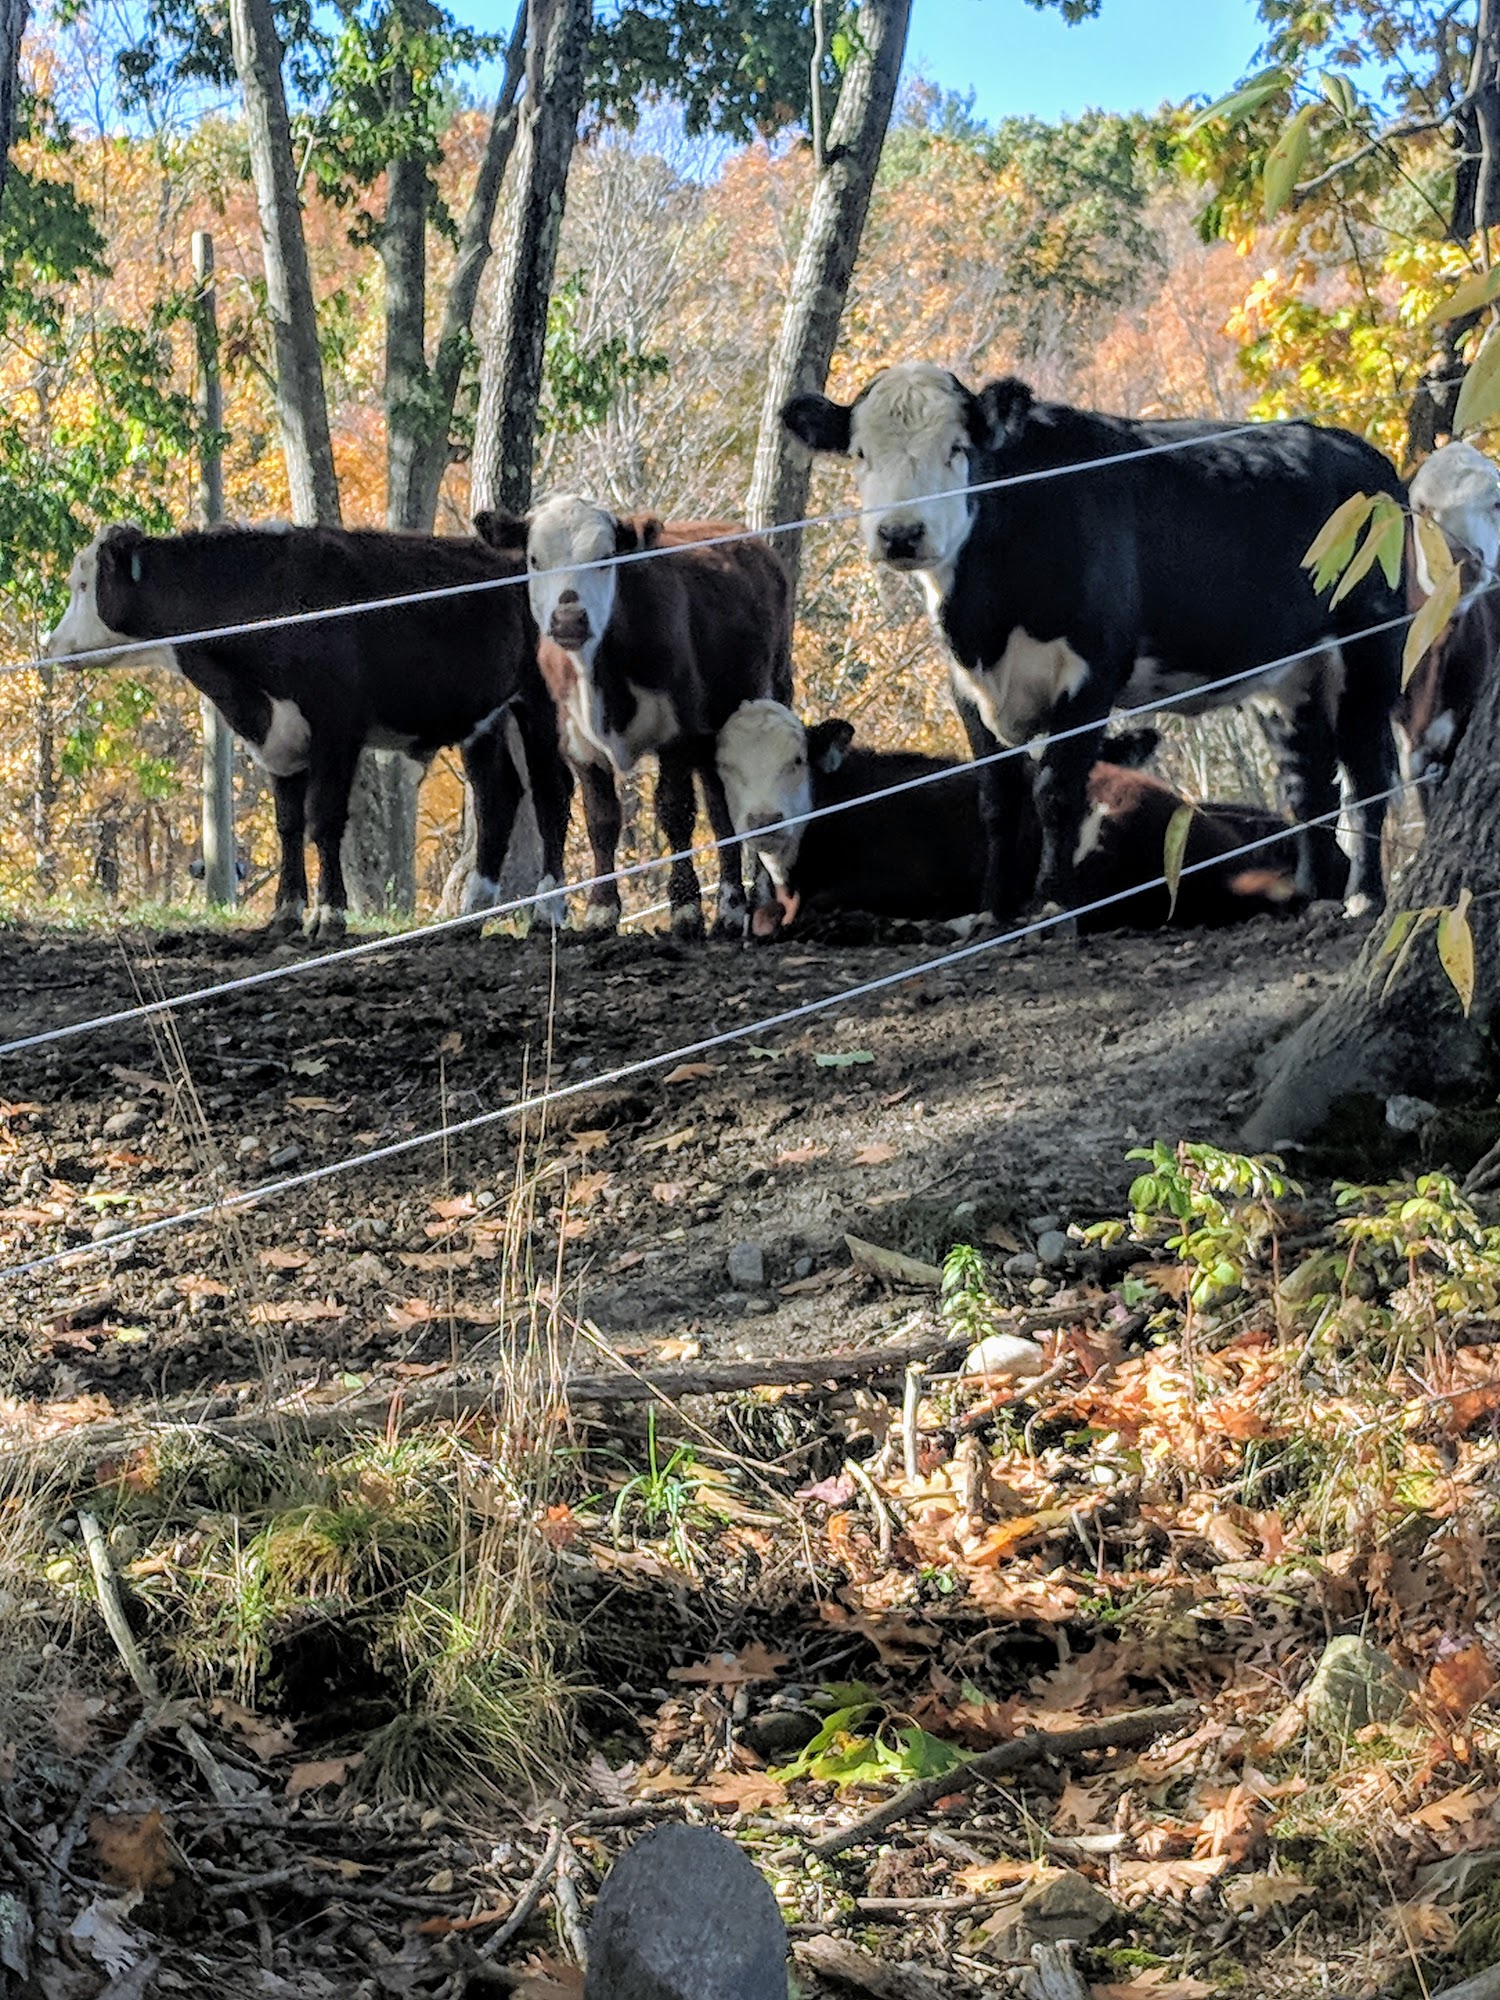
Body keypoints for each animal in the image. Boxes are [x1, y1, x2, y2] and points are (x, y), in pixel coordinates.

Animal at [43, 523, 572, 941]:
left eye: (84, 583)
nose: (50, 645)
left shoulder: (337, 726)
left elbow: (323, 819)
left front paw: (329, 915)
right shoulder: (277, 736)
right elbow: (288, 825)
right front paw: (285, 913)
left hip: (542, 700)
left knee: (551, 792)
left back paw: (548, 910)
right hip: (487, 717)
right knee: (496, 796)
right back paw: (471, 914)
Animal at [474, 498, 792, 937]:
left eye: (606, 557)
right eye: (535, 560)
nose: (568, 619)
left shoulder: (679, 732)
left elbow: (675, 813)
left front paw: (685, 908)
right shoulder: (577, 743)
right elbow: (602, 820)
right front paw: (602, 910)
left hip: (770, 691)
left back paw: (749, 903)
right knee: (721, 806)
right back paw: (730, 908)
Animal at [781, 365, 1405, 923]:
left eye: (956, 449)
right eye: (860, 453)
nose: (901, 533)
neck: (985, 620)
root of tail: (1357, 451)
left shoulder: (1090, 672)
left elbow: (1057, 793)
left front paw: (1053, 906)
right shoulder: (966, 685)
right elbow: (997, 799)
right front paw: (991, 912)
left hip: (1370, 648)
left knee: (1366, 775)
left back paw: (1364, 897)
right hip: (1288, 676)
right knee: (1308, 783)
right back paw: (1311, 898)